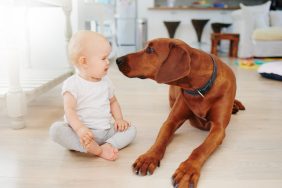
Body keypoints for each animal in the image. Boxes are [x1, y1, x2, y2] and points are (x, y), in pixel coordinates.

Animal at [115, 38, 243, 188]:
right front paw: (149, 157)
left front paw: (188, 170)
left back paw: (236, 105)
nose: (118, 60)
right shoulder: (171, 121)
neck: (199, 88)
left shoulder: (218, 128)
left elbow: (200, 149)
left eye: (150, 50)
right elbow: (160, 140)